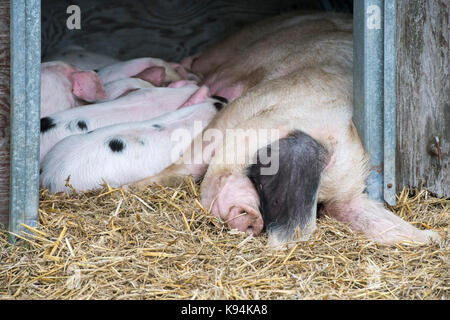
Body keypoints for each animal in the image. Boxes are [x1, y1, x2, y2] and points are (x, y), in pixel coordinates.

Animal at [126, 11, 440, 246]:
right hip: (232, 43)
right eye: (261, 176)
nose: (253, 218)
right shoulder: (243, 108)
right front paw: (131, 187)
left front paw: (431, 239)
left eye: (321, 207)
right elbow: (189, 164)